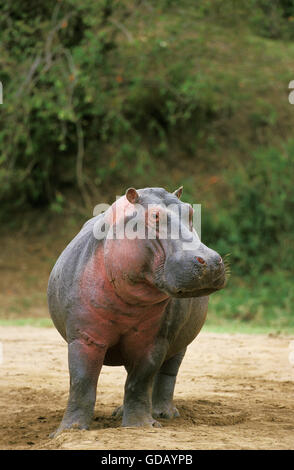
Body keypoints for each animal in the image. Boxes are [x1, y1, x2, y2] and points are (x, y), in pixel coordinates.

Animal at [47, 185, 225, 436]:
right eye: (155, 216)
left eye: (190, 212)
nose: (210, 261)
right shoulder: (84, 337)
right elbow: (82, 382)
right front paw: (68, 431)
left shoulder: (154, 341)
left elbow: (140, 381)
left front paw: (141, 425)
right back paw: (121, 413)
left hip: (180, 342)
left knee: (167, 374)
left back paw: (163, 414)